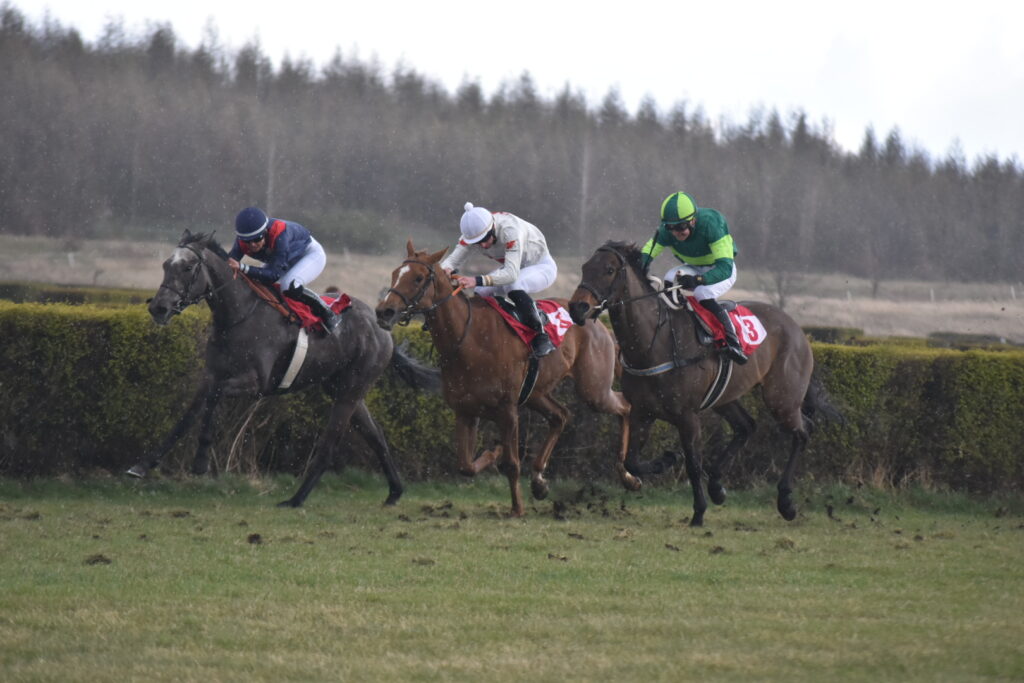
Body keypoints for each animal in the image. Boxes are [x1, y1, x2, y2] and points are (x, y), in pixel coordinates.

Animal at [129, 230, 440, 508]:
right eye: (165, 265)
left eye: (188, 267)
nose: (158, 308)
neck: (237, 316)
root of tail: (382, 326)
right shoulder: (211, 375)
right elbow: (188, 416)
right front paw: (142, 466)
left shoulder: (257, 383)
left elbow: (214, 398)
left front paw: (201, 459)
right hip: (342, 388)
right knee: (376, 437)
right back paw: (394, 492)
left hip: (351, 389)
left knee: (330, 443)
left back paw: (296, 499)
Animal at [374, 240, 633, 517]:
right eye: (395, 273)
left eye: (418, 277)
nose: (384, 311)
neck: (468, 338)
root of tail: (598, 323)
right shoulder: (465, 410)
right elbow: (465, 465)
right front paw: (495, 452)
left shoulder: (507, 410)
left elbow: (512, 463)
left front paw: (517, 508)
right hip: (536, 393)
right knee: (561, 416)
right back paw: (539, 480)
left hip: (593, 390)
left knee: (624, 406)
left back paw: (627, 474)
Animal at [568, 241, 841, 526]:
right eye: (585, 267)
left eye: (609, 270)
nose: (577, 307)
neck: (656, 343)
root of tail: (796, 328)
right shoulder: (642, 412)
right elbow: (632, 460)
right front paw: (666, 461)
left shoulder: (687, 416)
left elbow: (693, 464)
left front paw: (698, 512)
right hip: (726, 397)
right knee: (746, 426)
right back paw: (718, 486)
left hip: (781, 397)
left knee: (803, 431)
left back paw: (786, 501)